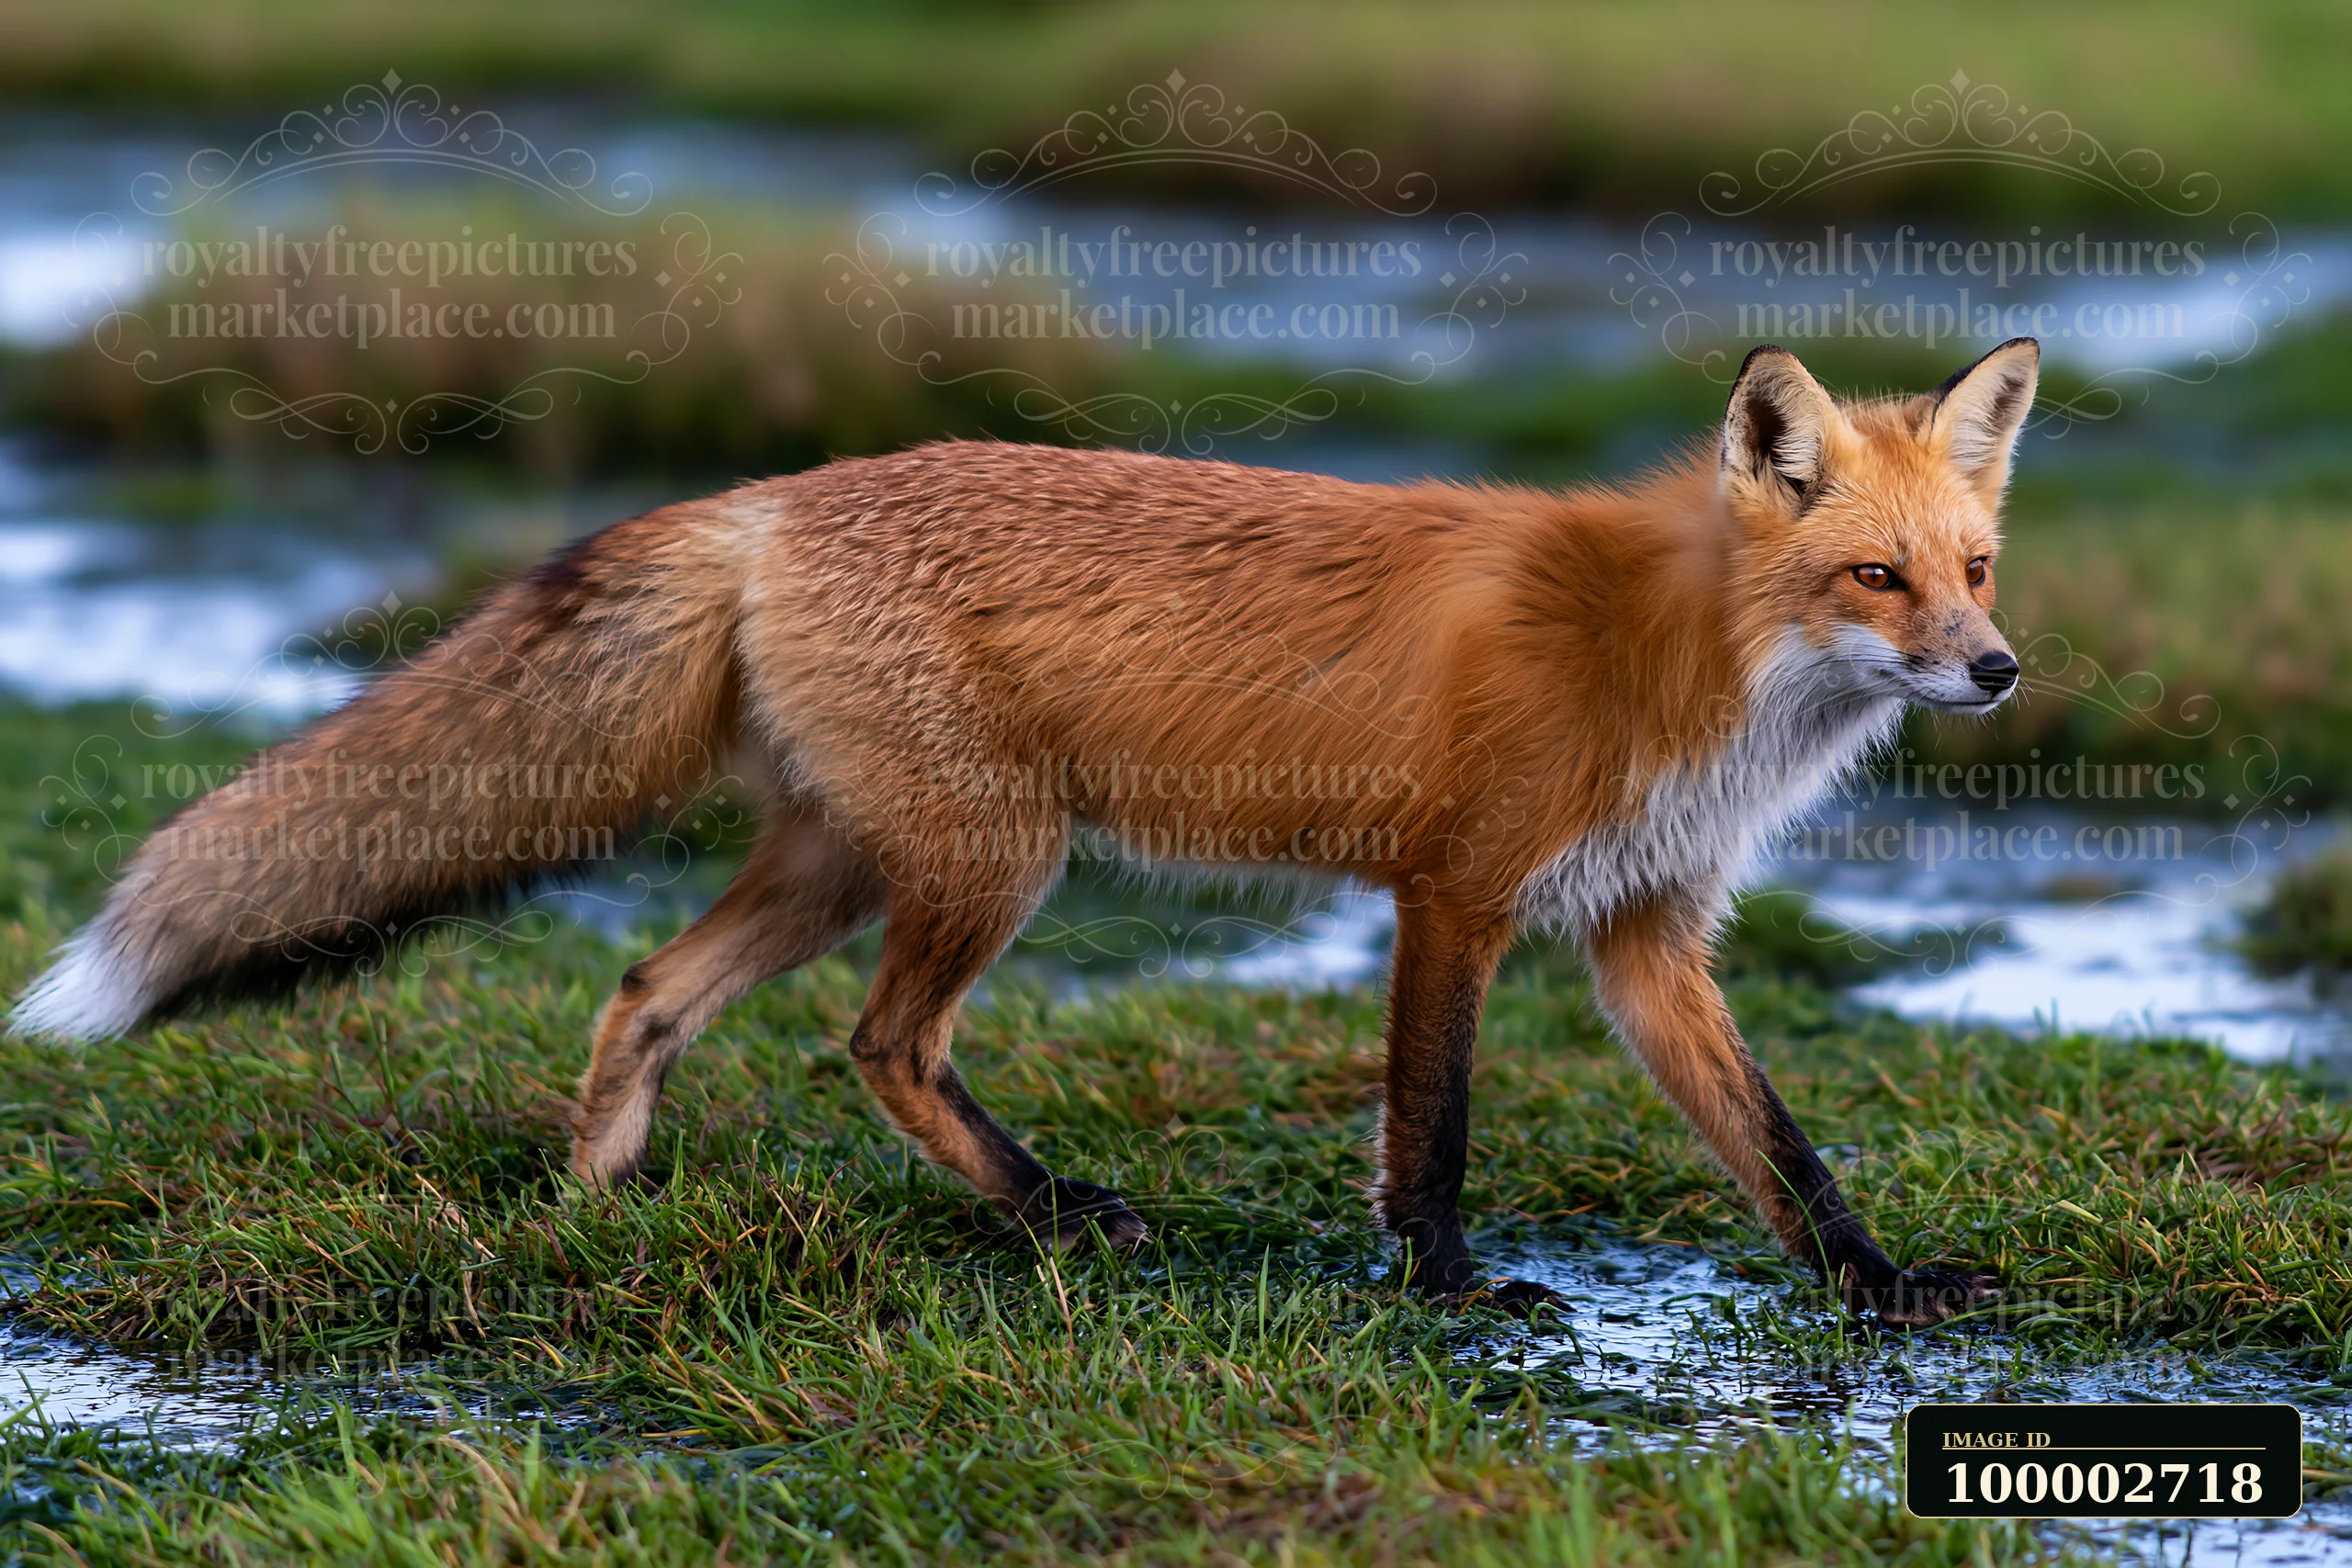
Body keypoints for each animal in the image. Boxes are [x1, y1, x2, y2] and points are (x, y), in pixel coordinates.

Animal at [12, 338, 2040, 1322]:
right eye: (1874, 578)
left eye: (1974, 567)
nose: (2000, 670)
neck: (1673, 657)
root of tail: (773, 496)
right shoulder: (1450, 895)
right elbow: (1436, 1129)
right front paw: (1454, 1292)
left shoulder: (1643, 933)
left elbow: (1778, 1146)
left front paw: (1874, 1288)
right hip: (992, 867)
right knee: (881, 1045)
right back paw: (1062, 1210)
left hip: (849, 861)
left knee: (646, 983)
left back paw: (592, 1215)